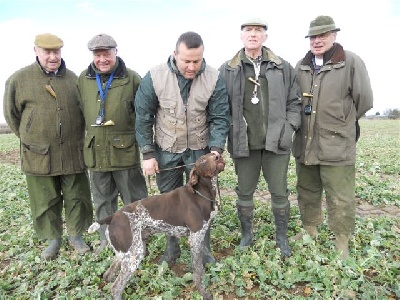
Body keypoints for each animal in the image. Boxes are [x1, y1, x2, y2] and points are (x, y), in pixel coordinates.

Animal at [88, 154, 225, 298]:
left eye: (213, 154)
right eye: (202, 161)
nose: (218, 156)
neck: (201, 192)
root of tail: (113, 217)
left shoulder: (200, 236)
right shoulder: (195, 239)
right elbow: (198, 271)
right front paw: (204, 293)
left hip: (126, 252)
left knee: (108, 275)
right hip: (133, 255)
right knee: (116, 288)